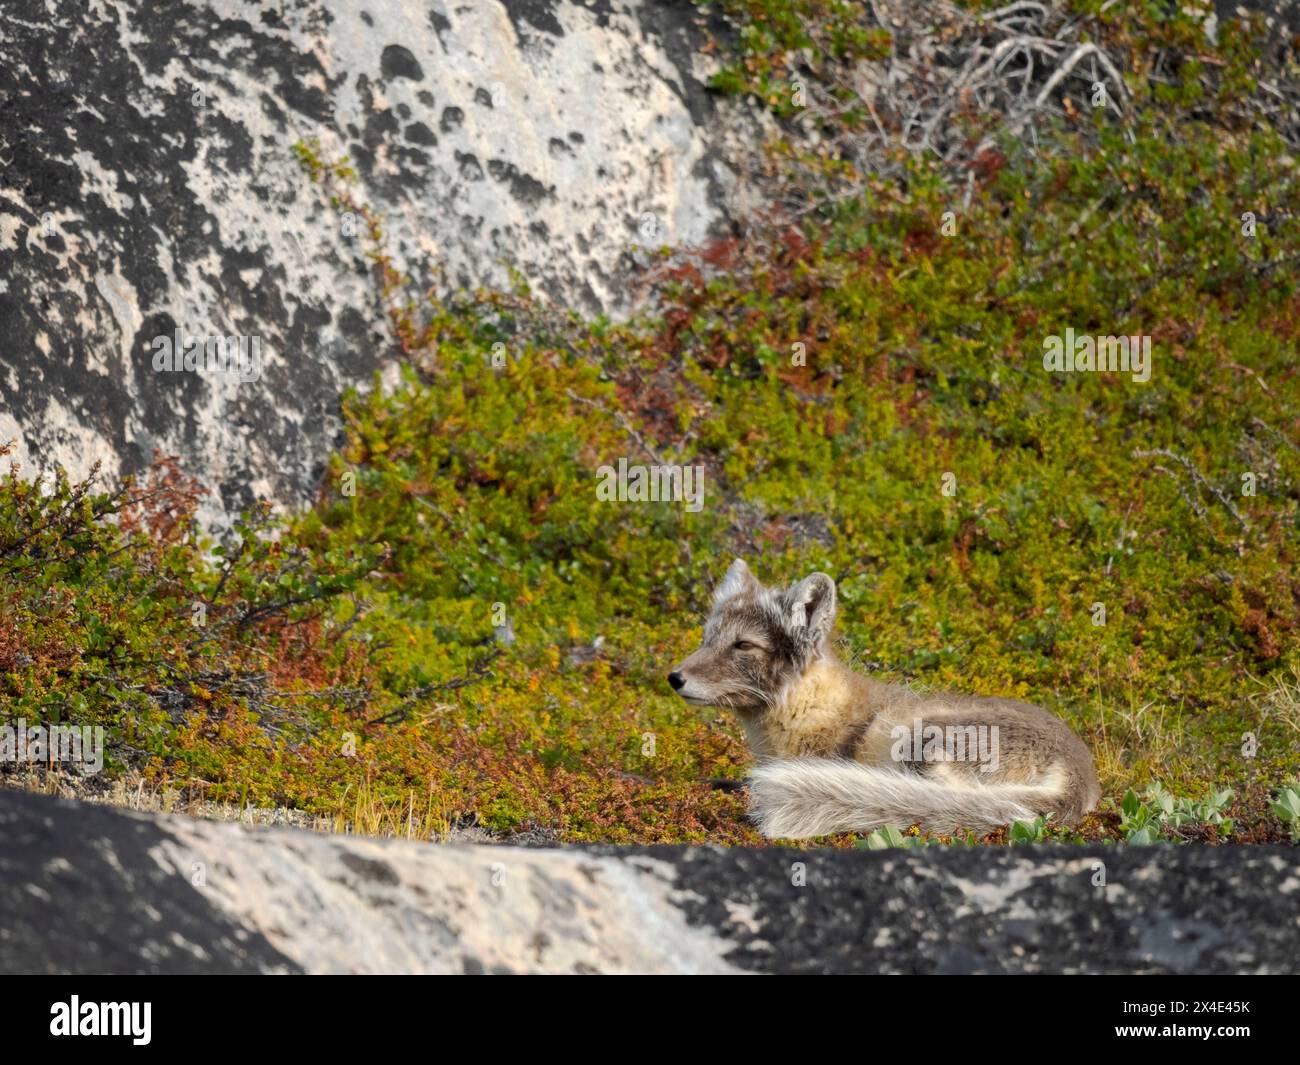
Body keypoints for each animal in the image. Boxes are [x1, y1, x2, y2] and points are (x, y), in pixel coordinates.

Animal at [668, 559, 1101, 839]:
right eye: (707, 638)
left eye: (743, 645)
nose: (674, 678)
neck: (804, 707)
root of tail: (1080, 778)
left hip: (924, 740)